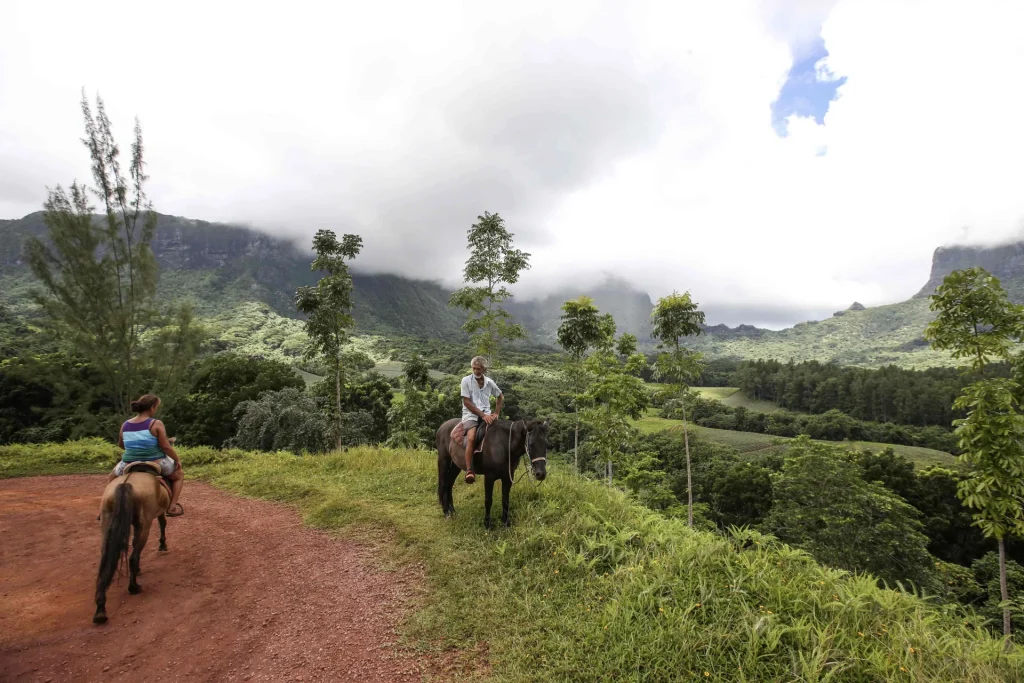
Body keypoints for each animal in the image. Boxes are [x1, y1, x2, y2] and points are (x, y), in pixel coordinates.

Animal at [95, 464, 171, 626]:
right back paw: (134, 587)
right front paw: (162, 545)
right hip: (145, 523)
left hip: (107, 519)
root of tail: (125, 484)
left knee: (107, 558)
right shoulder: (158, 511)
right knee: (133, 555)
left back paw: (100, 608)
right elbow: (162, 523)